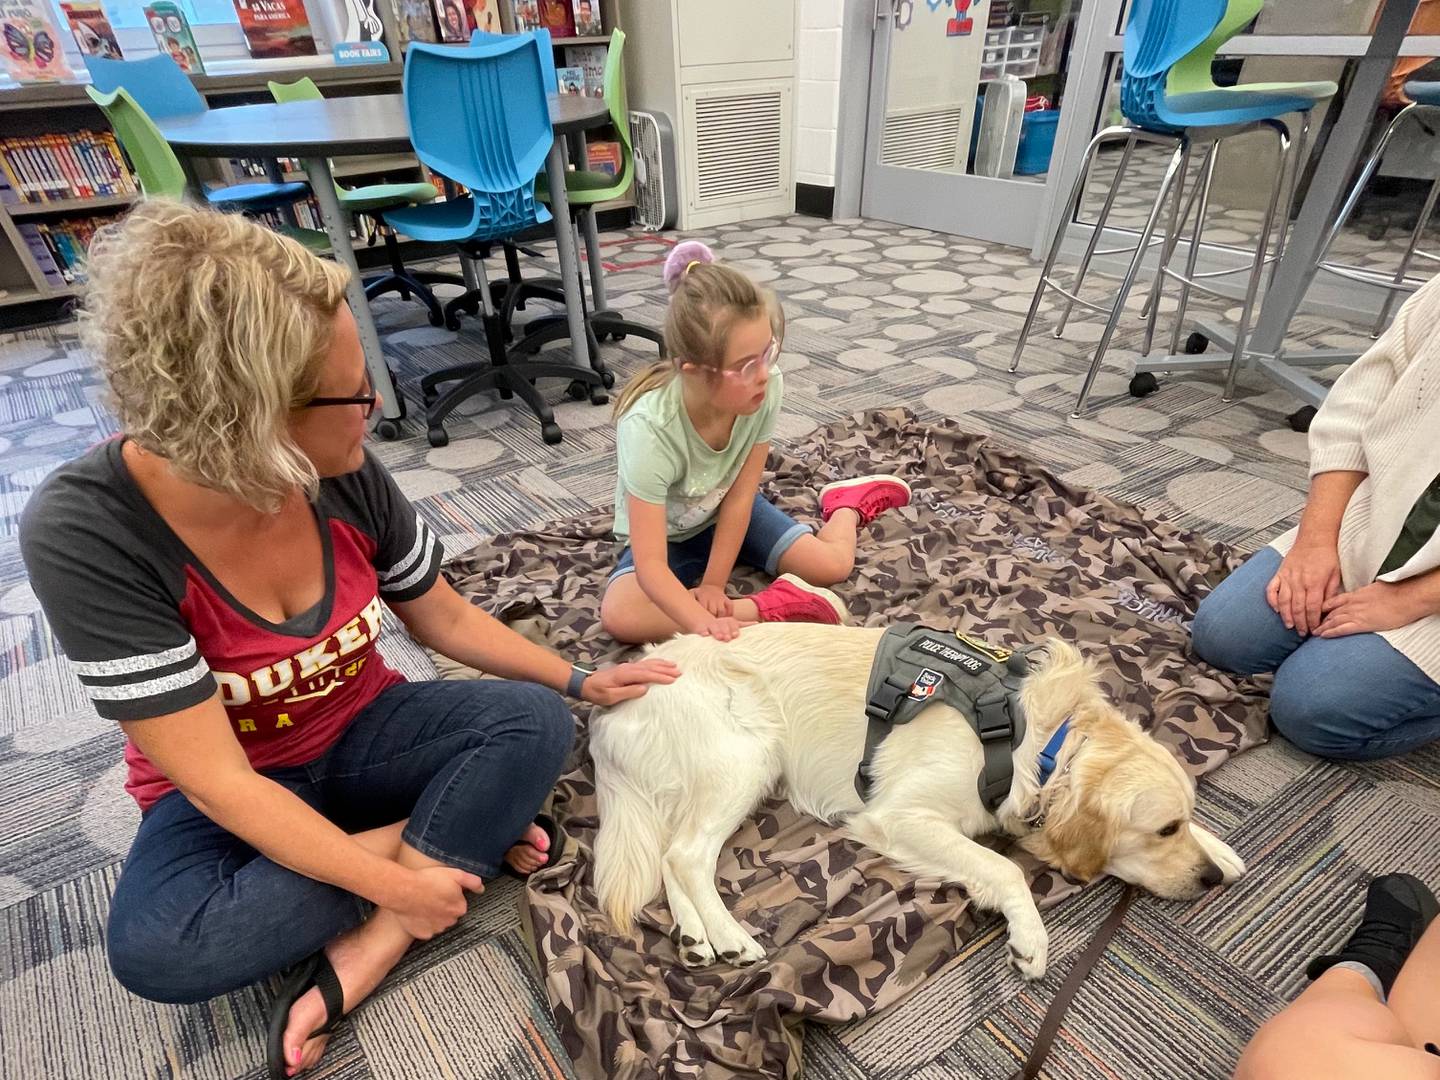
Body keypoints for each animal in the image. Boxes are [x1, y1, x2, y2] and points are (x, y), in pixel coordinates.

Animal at [590, 616, 1244, 979]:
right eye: (1162, 831)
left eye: (1181, 822)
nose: (1208, 881)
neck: (1045, 738)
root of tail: (610, 708)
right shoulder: (900, 816)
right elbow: (1004, 867)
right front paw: (1031, 939)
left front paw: (1223, 851)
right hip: (747, 758)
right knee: (687, 856)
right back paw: (729, 935)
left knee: (674, 855)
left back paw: (697, 938)